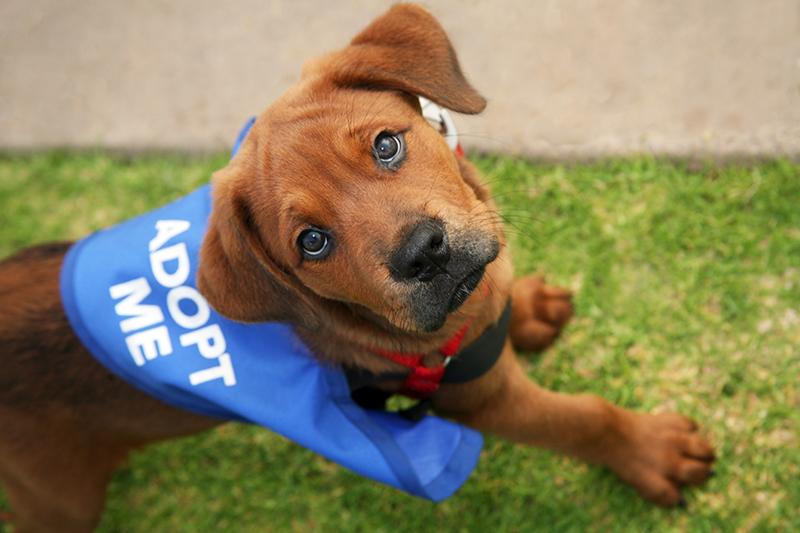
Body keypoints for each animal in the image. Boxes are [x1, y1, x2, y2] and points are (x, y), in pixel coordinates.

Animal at [0, 5, 712, 532]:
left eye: (387, 144)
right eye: (312, 242)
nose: (423, 252)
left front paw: (529, 306)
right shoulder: (482, 401)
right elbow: (583, 418)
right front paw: (651, 450)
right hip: (61, 501)